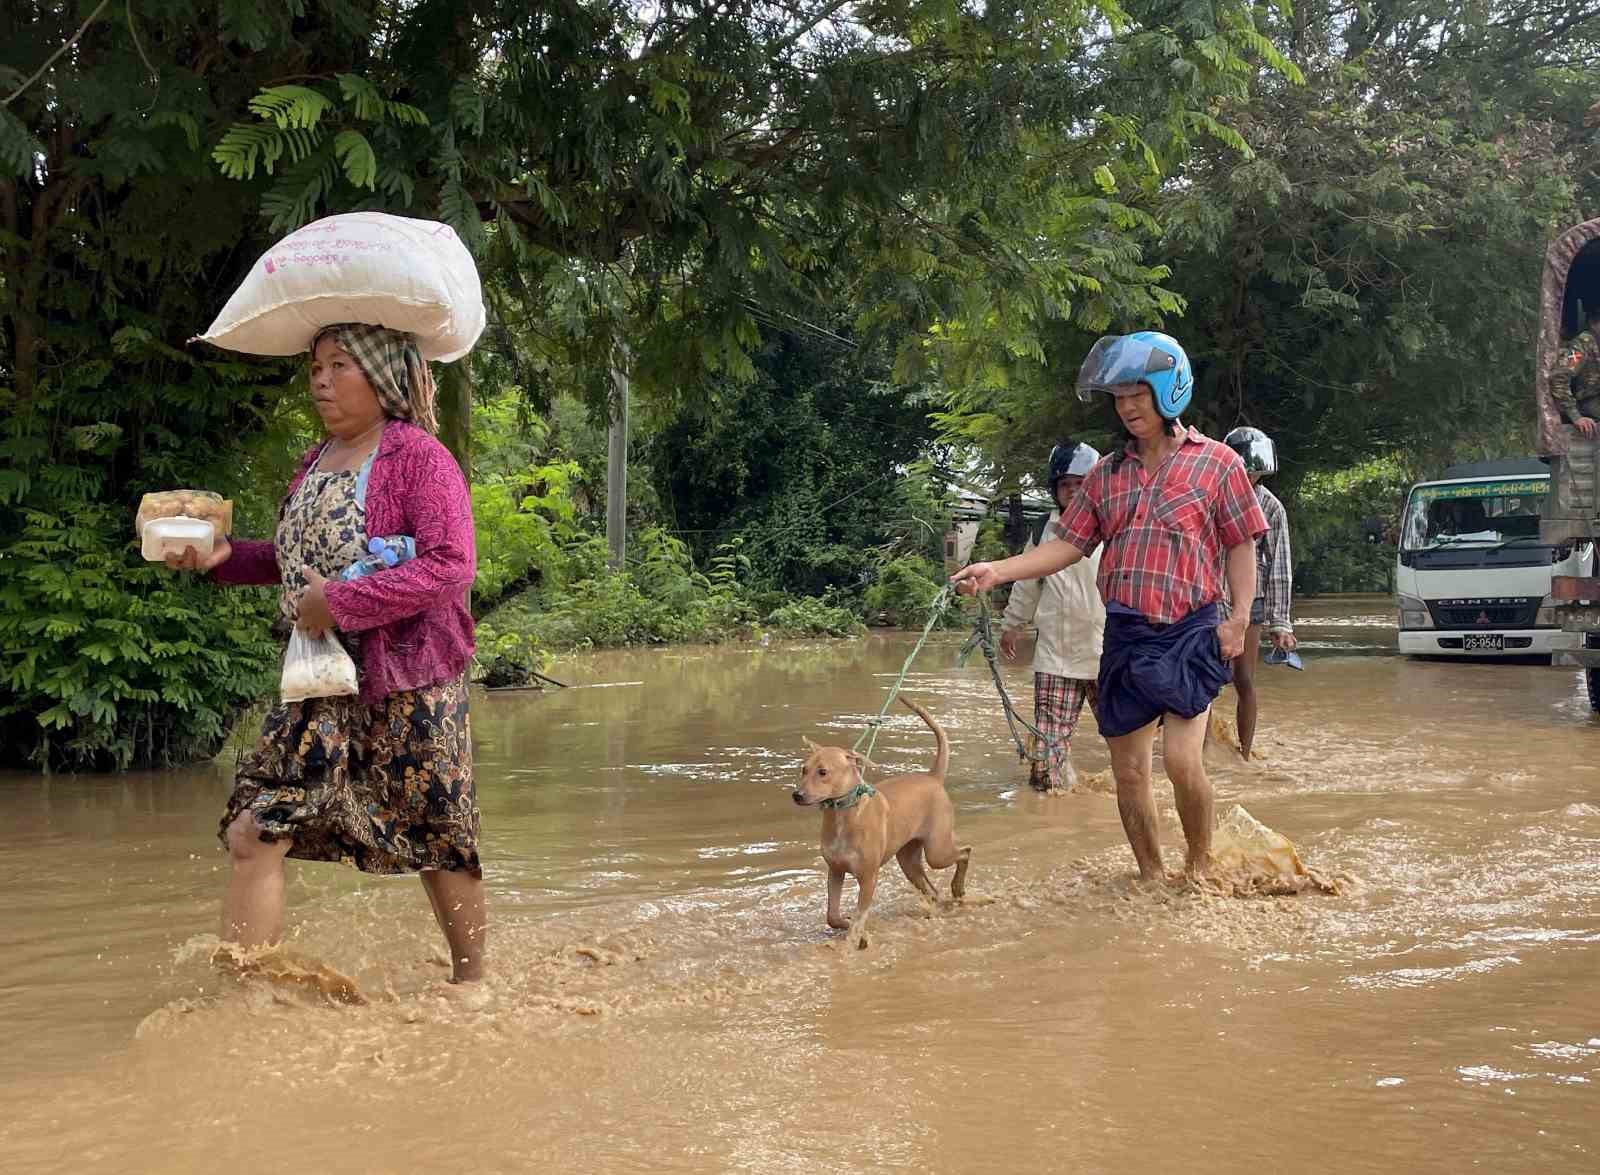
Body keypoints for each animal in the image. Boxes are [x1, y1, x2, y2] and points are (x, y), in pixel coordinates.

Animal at [790, 697, 966, 947]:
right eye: (803, 770)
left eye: (823, 772)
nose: (797, 795)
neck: (845, 816)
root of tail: (933, 778)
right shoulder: (835, 870)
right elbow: (833, 916)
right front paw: (850, 926)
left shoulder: (868, 877)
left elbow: (859, 917)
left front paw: (854, 940)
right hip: (909, 860)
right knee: (933, 891)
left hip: (937, 852)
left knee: (965, 852)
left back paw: (958, 888)